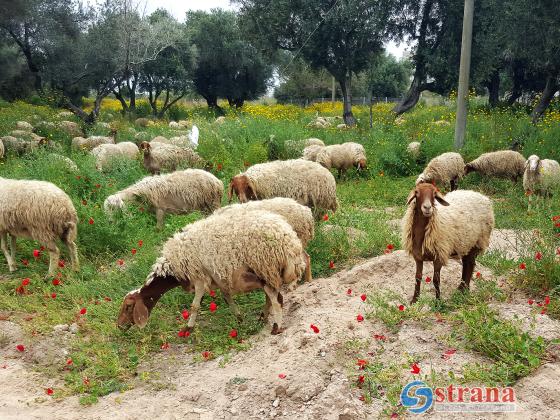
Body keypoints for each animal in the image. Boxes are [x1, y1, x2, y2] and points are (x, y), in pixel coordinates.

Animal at [115, 210, 306, 334]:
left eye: (128, 307)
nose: (119, 326)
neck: (173, 268)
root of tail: (289, 240)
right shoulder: (219, 278)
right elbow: (227, 298)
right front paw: (239, 319)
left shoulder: (198, 276)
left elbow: (194, 306)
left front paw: (187, 329)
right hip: (266, 273)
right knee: (270, 297)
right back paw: (262, 318)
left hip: (265, 267)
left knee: (277, 299)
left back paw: (276, 327)